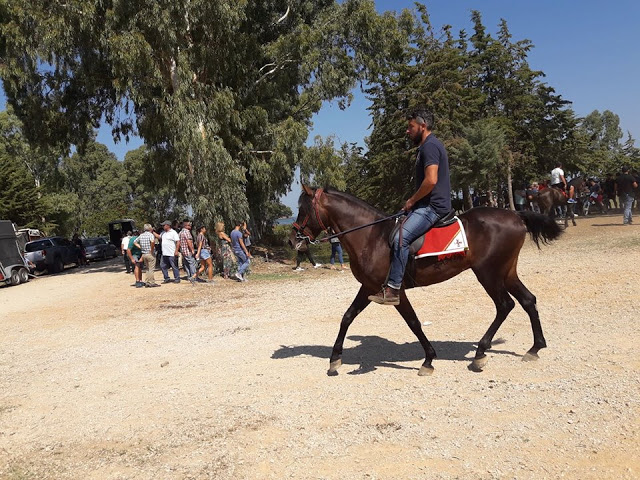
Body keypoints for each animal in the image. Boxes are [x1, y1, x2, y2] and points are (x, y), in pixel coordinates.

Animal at [288, 186, 564, 376]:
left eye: (303, 210)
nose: (293, 239)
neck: (371, 236)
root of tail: (515, 215)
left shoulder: (394, 291)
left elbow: (413, 322)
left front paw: (429, 359)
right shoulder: (369, 287)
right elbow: (347, 317)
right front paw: (335, 359)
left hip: (488, 273)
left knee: (505, 305)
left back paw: (480, 352)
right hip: (506, 272)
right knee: (528, 300)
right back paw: (535, 348)